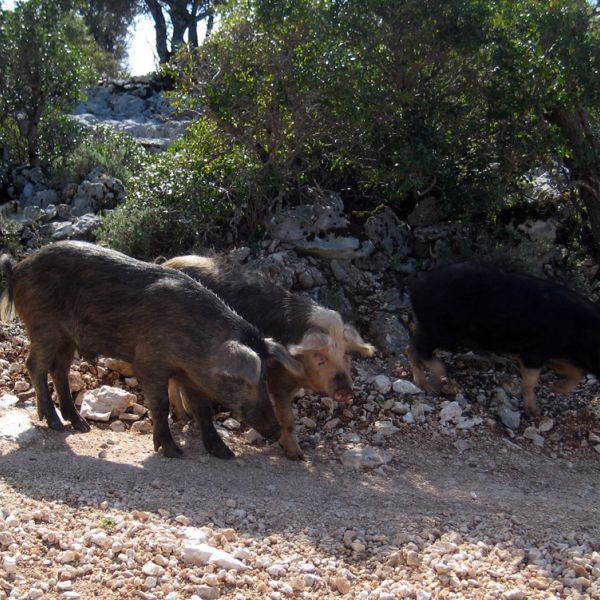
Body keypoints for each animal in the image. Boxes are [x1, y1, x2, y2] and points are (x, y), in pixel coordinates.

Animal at [0, 241, 302, 458]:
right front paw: (173, 452)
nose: (274, 428)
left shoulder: (190, 375)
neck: (195, 342)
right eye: (244, 381)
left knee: (59, 370)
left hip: (67, 338)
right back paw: (54, 423)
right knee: (35, 365)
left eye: (266, 378)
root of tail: (17, 270)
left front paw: (225, 454)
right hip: (43, 325)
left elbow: (202, 409)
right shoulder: (148, 361)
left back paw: (80, 426)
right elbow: (160, 404)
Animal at [162, 254, 372, 460]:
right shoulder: (278, 382)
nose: (345, 390)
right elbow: (287, 419)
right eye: (320, 355)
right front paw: (298, 456)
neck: (301, 374)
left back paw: (185, 416)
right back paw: (184, 417)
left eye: (346, 354)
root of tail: (169, 262)